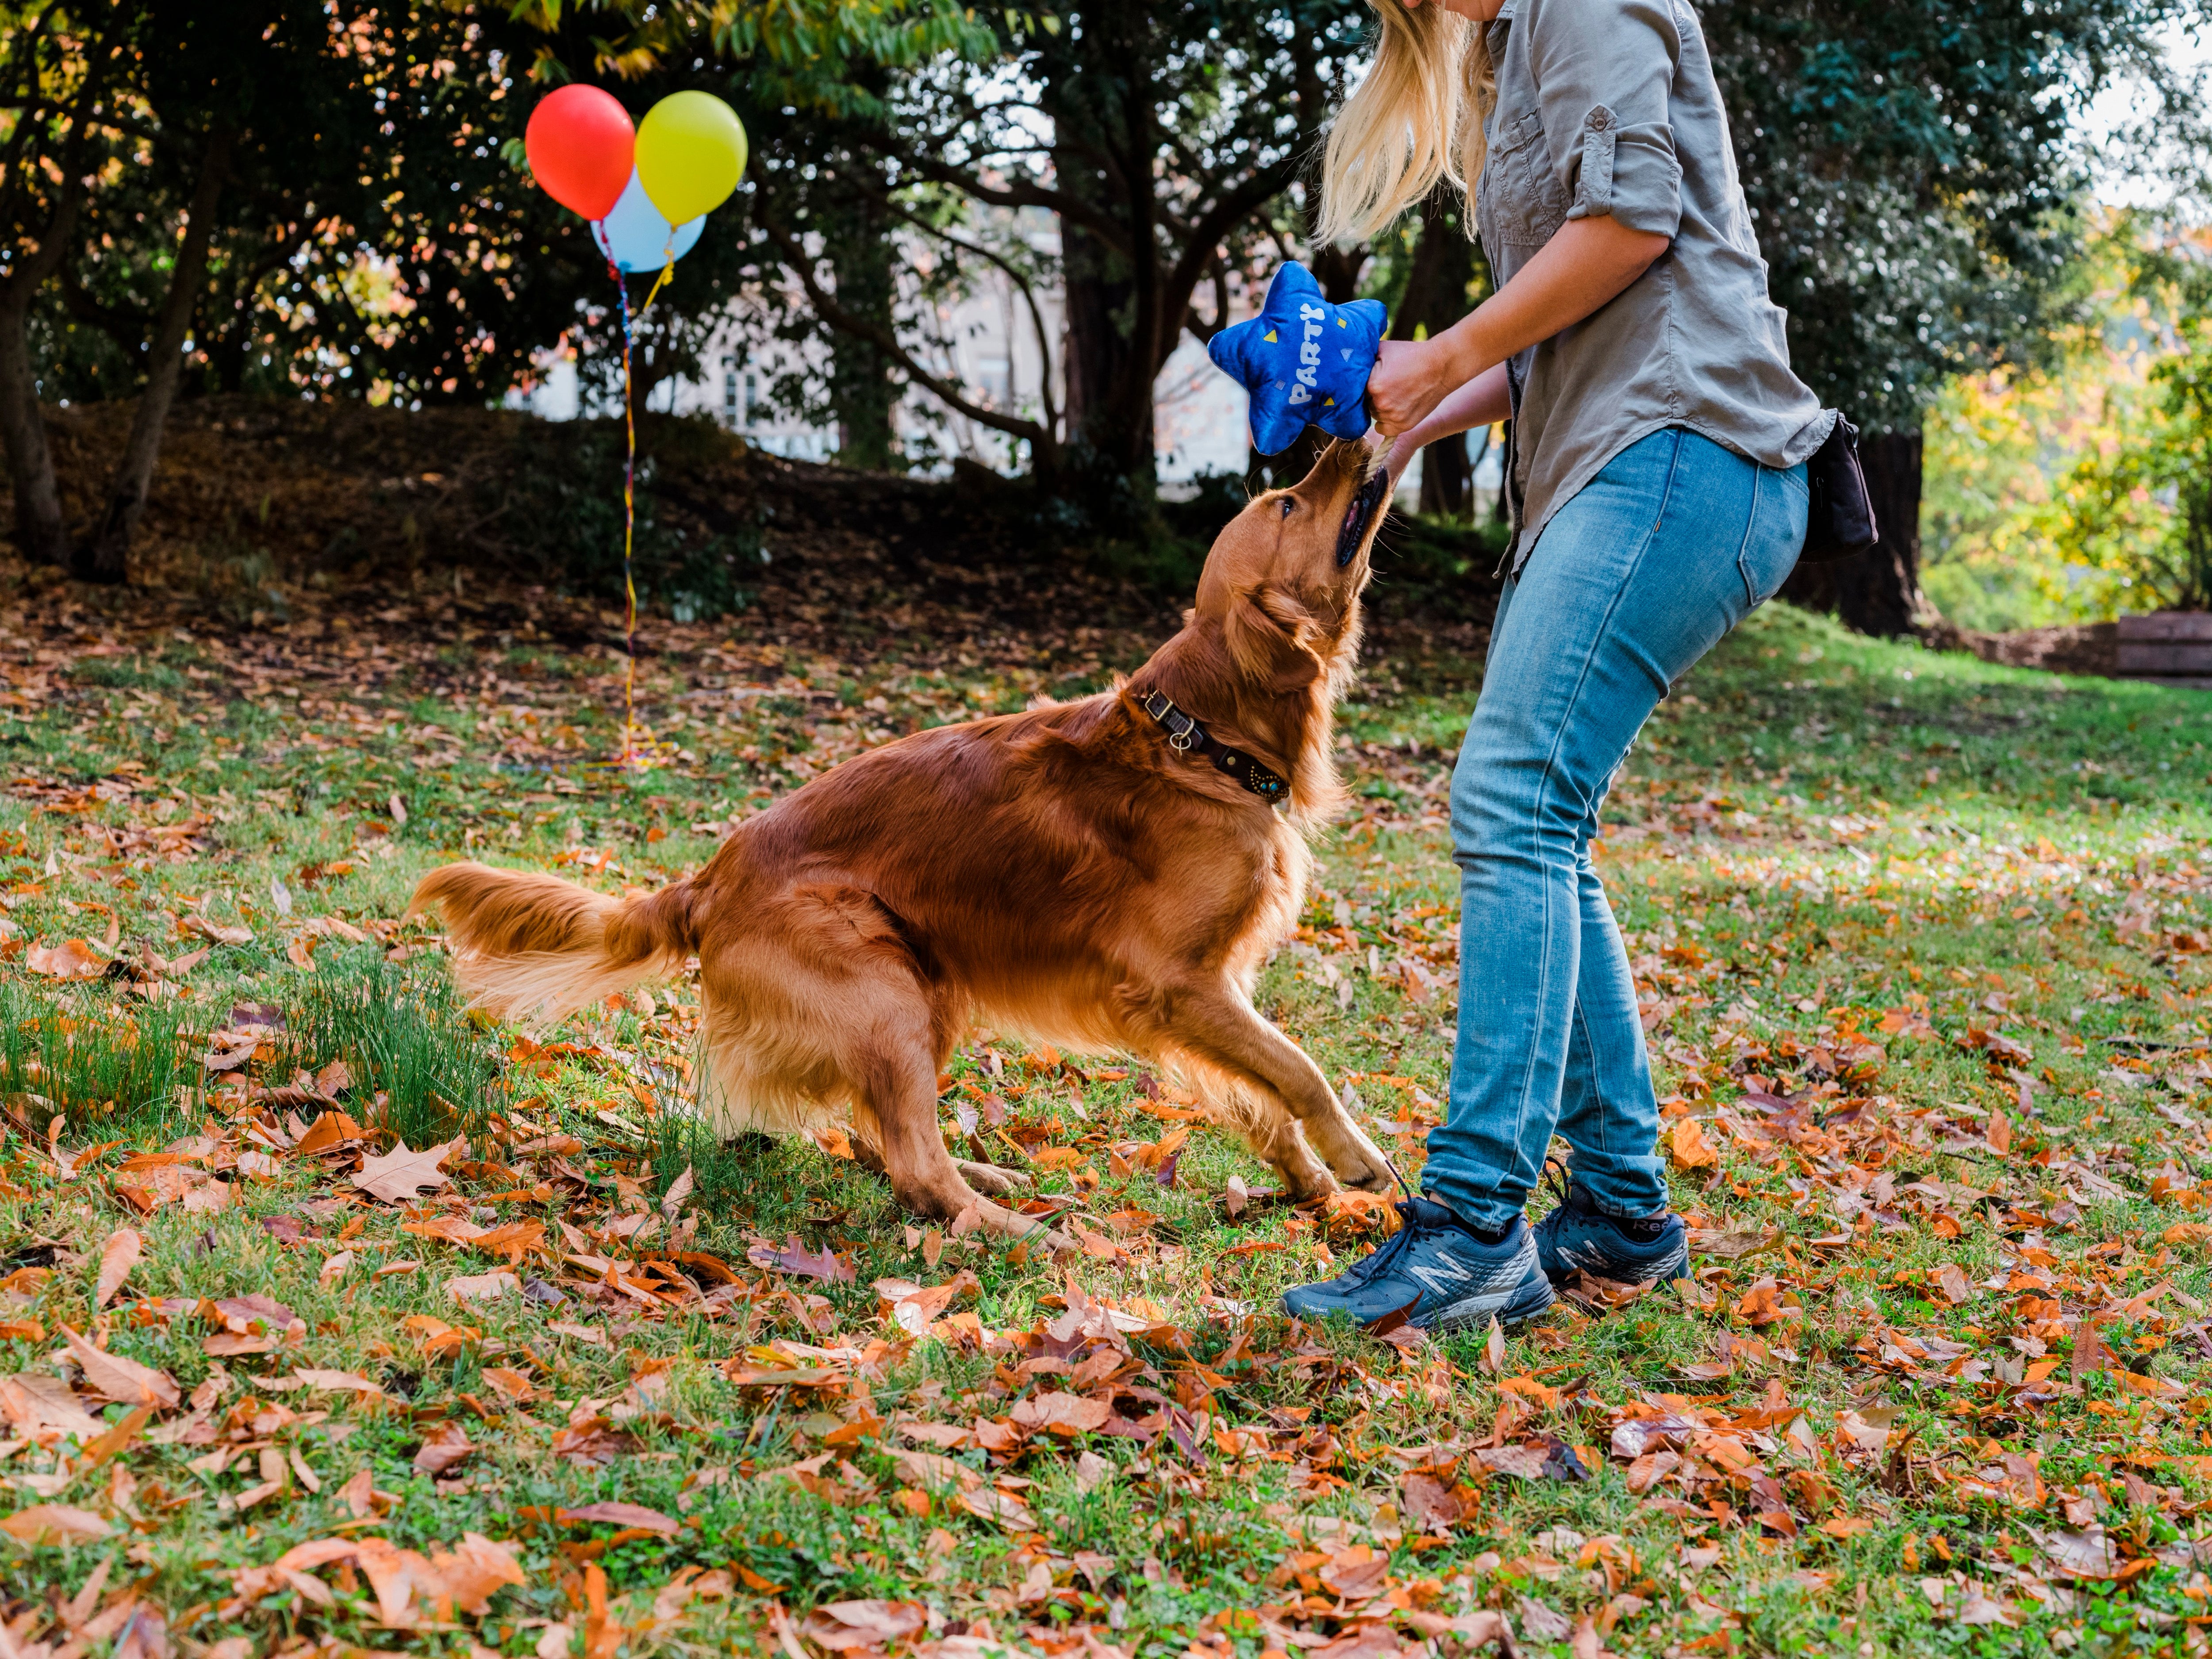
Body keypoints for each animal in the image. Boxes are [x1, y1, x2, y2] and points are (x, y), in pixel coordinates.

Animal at [407, 438, 1389, 1248]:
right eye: (1289, 505)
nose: (1352, 433)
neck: (1200, 741)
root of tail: (706, 881)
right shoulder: (1178, 985)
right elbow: (1299, 1071)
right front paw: (1357, 1159)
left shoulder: (1210, 992)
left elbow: (1264, 1098)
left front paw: (1312, 1186)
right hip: (886, 993)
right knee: (913, 1164)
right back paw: (1017, 1230)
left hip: (925, 988)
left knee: (885, 1141)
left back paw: (990, 1179)